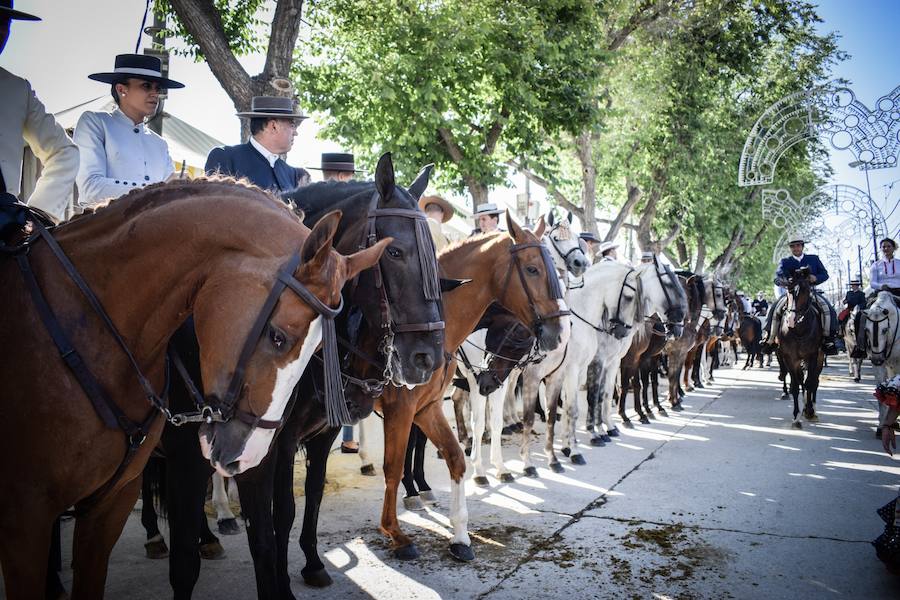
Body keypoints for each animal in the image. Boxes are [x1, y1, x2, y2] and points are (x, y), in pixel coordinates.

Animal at [0, 182, 384, 600]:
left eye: (318, 349)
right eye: (278, 336)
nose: (246, 453)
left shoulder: (110, 505)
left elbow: (265, 538)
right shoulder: (26, 516)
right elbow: (188, 560)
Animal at [163, 155, 446, 600]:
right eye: (396, 252)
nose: (428, 357)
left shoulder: (319, 435)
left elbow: (312, 496)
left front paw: (312, 562)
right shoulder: (274, 445)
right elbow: (281, 512)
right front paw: (282, 579)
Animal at [372, 214, 564, 564]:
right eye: (532, 269)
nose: (558, 332)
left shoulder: (427, 406)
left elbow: (455, 456)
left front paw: (460, 535)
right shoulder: (402, 407)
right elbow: (393, 465)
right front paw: (396, 532)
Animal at [776, 268, 828, 426]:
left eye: (805, 290)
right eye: (789, 290)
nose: (791, 320)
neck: (799, 329)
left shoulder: (812, 356)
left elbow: (810, 383)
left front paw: (809, 410)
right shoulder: (790, 358)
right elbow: (795, 385)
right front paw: (796, 416)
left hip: (820, 358)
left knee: (814, 382)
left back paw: (812, 409)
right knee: (801, 381)